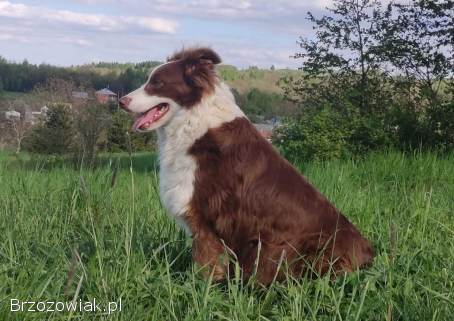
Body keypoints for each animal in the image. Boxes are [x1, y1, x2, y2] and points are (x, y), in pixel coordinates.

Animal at [119, 47, 374, 282]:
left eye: (157, 83)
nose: (121, 101)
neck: (193, 122)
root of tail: (369, 255)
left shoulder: (204, 218)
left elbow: (205, 265)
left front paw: (199, 291)